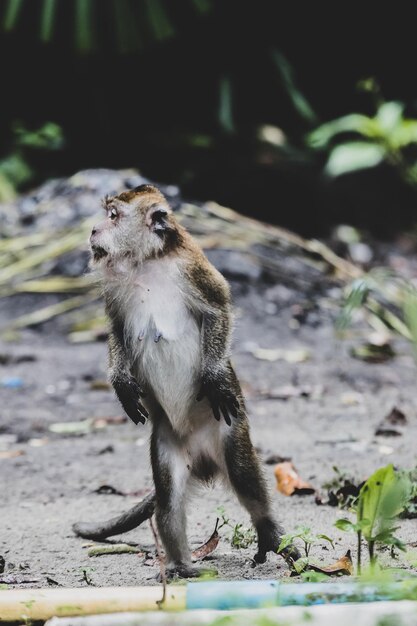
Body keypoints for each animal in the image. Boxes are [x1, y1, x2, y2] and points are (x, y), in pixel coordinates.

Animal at [74, 184, 300, 576]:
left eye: (113, 215)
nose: (93, 230)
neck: (148, 262)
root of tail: (205, 460)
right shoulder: (113, 289)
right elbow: (116, 329)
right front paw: (120, 383)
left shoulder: (193, 268)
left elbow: (219, 307)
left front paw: (213, 376)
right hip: (168, 443)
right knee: (169, 499)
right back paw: (183, 566)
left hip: (228, 431)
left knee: (243, 474)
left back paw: (268, 533)